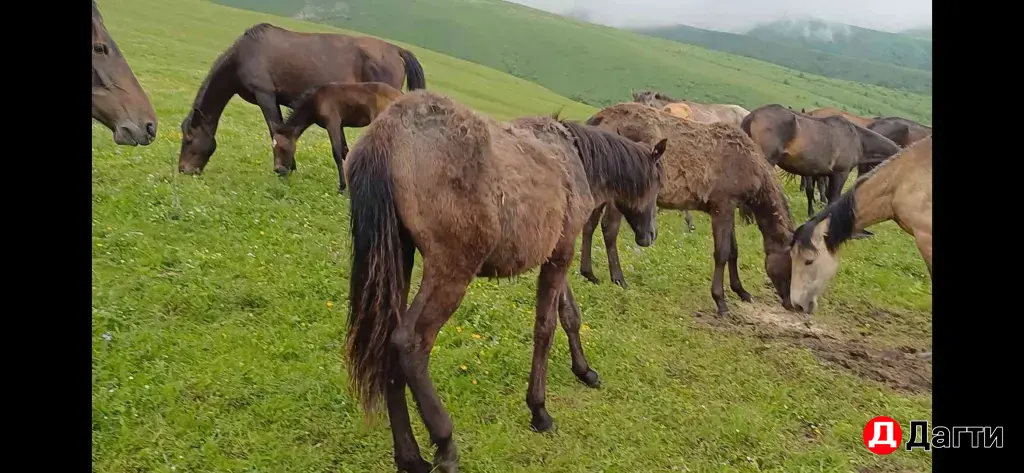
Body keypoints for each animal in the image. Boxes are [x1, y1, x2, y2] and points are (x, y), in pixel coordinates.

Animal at [177, 23, 426, 175]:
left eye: (188, 140)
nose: (183, 169)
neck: (244, 56)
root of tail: (397, 50)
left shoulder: (265, 94)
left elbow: (274, 128)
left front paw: (287, 167)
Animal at [271, 81, 403, 193]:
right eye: (273, 149)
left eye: (283, 148)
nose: (277, 170)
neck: (316, 100)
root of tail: (400, 95)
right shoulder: (340, 126)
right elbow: (345, 152)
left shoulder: (332, 122)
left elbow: (337, 153)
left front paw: (342, 187)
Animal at [343, 90, 666, 473]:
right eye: (658, 184)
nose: (650, 235)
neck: (573, 158)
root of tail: (390, 134)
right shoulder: (561, 255)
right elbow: (546, 327)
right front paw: (539, 410)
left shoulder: (557, 252)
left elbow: (570, 315)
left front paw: (585, 371)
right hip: (450, 272)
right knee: (408, 344)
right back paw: (444, 444)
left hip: (398, 261)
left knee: (386, 342)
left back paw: (410, 457)